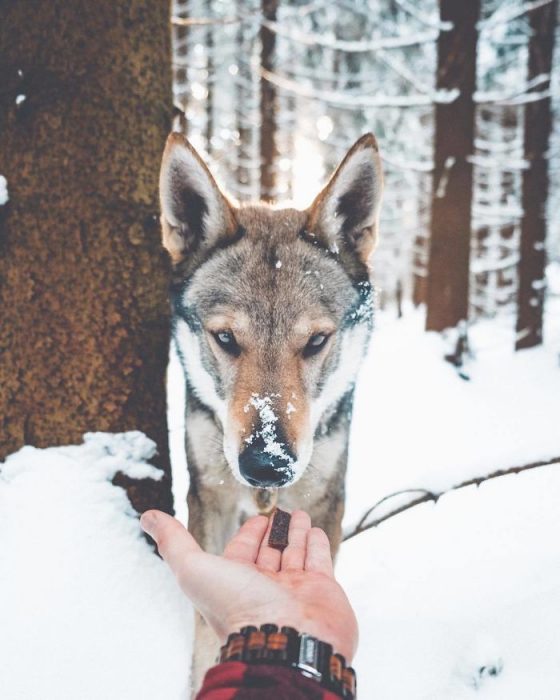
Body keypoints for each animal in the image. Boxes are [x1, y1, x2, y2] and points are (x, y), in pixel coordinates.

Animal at [160, 131, 382, 688]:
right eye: (225, 338)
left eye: (317, 341)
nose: (266, 465)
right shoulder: (211, 497)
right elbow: (204, 631)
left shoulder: (323, 501)